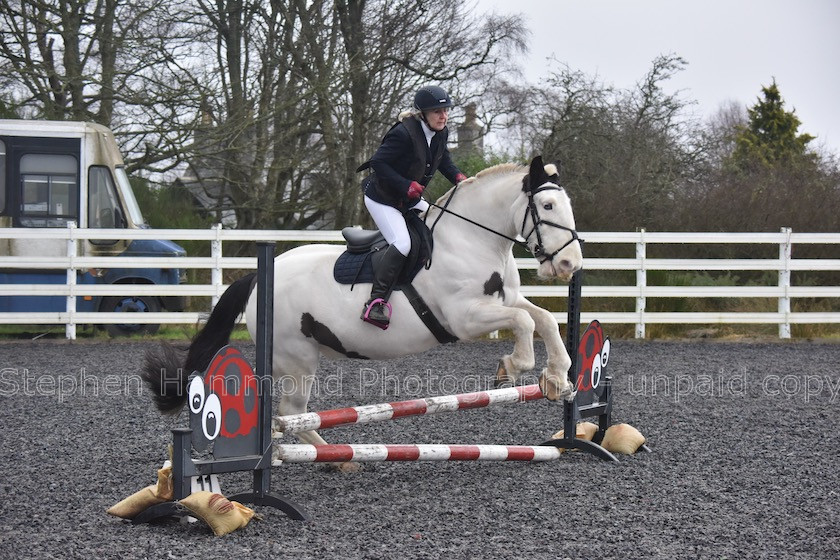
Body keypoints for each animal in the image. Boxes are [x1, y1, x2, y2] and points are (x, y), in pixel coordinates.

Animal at [141, 155, 580, 452]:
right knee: (290, 411)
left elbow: (543, 319)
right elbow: (524, 323)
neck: (472, 238)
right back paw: (331, 457)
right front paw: (513, 366)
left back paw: (332, 456)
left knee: (290, 413)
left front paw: (557, 378)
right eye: (547, 207)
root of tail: (257, 278)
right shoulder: (464, 317)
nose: (570, 265)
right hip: (296, 358)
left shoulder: (506, 299)